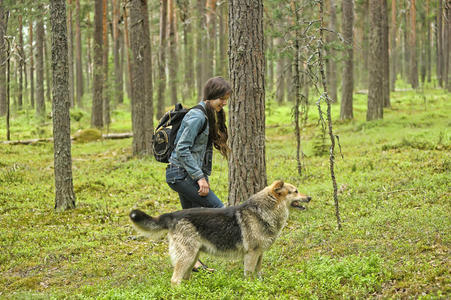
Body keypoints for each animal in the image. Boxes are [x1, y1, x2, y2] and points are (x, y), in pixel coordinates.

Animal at [128, 180, 310, 286]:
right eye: (295, 191)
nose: (309, 198)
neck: (264, 210)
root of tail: (173, 215)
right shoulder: (251, 254)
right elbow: (249, 274)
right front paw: (251, 288)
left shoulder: (259, 253)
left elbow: (258, 272)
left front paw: (260, 284)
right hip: (187, 255)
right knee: (175, 280)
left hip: (192, 256)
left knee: (185, 277)